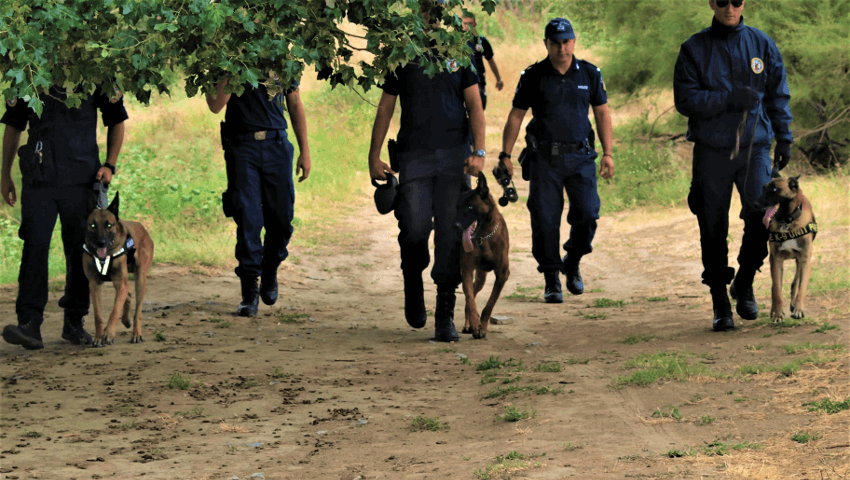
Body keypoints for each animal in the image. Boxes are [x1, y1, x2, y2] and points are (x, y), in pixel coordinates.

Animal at [454, 172, 506, 338]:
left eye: (470, 207)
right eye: (457, 207)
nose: (454, 226)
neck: (484, 238)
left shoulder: (503, 274)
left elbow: (489, 304)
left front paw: (482, 326)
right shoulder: (467, 269)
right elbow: (470, 300)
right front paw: (475, 324)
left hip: (482, 277)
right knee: (470, 295)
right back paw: (468, 325)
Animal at [756, 176, 816, 322]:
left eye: (775, 190)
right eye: (763, 188)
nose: (755, 204)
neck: (787, 222)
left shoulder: (805, 261)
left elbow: (801, 287)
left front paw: (799, 309)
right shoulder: (776, 261)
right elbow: (777, 290)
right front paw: (778, 313)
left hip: (800, 261)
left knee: (796, 282)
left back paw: (794, 305)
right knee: (775, 287)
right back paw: (774, 310)